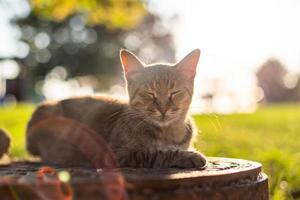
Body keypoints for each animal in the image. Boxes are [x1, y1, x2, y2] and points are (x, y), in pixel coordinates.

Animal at [27, 48, 207, 169]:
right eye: (149, 93)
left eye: (174, 93)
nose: (163, 109)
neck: (168, 134)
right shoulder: (115, 154)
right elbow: (155, 152)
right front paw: (188, 155)